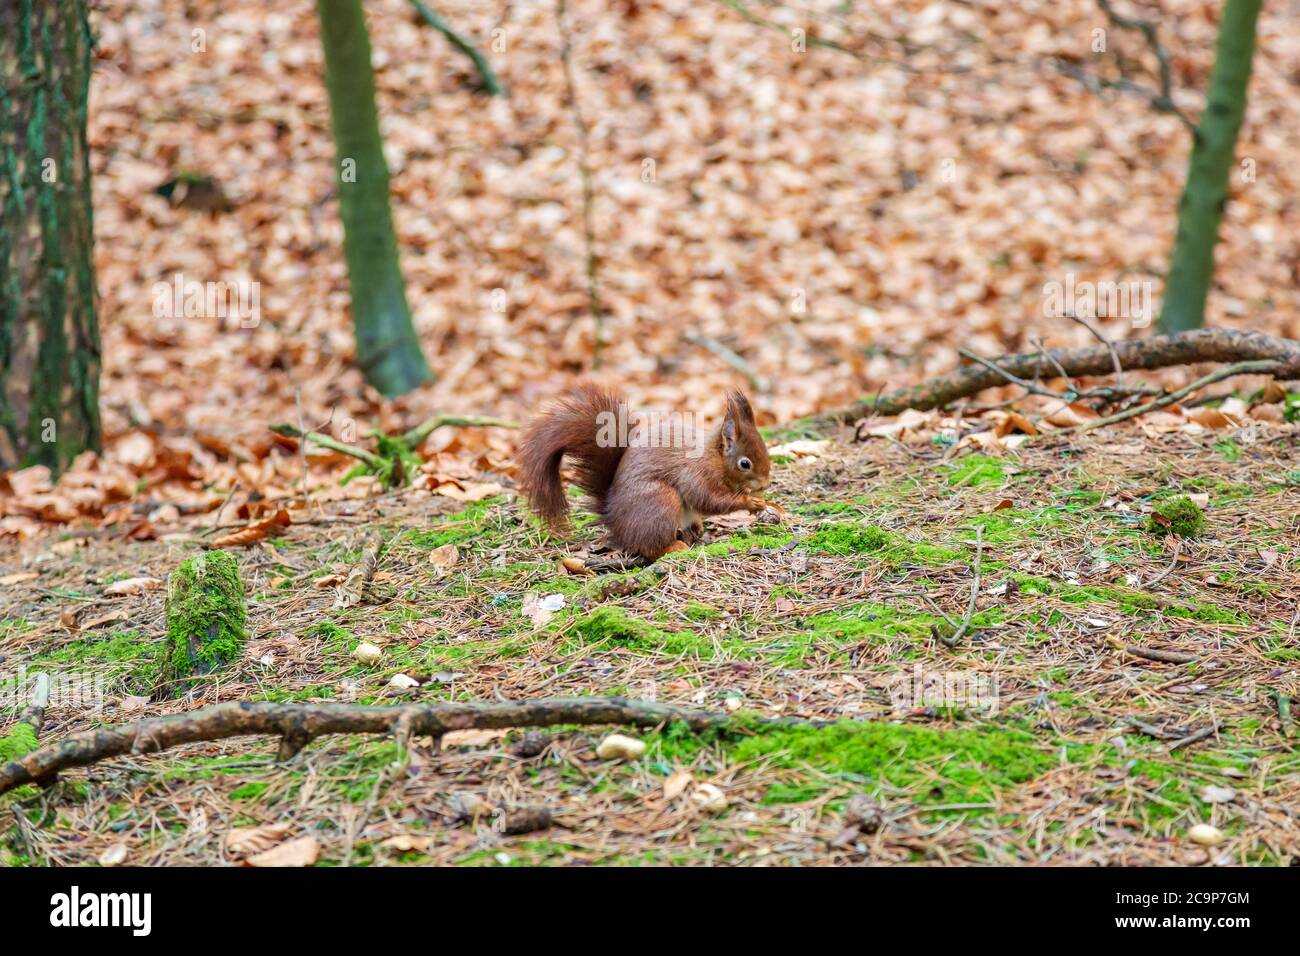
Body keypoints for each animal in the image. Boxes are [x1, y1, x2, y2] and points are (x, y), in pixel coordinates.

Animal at [518, 385, 774, 560]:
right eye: (745, 463)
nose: (764, 484)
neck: (716, 458)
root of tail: (615, 521)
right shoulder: (696, 472)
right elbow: (708, 499)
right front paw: (750, 502)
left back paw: (695, 529)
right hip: (661, 501)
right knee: (649, 548)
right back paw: (674, 546)